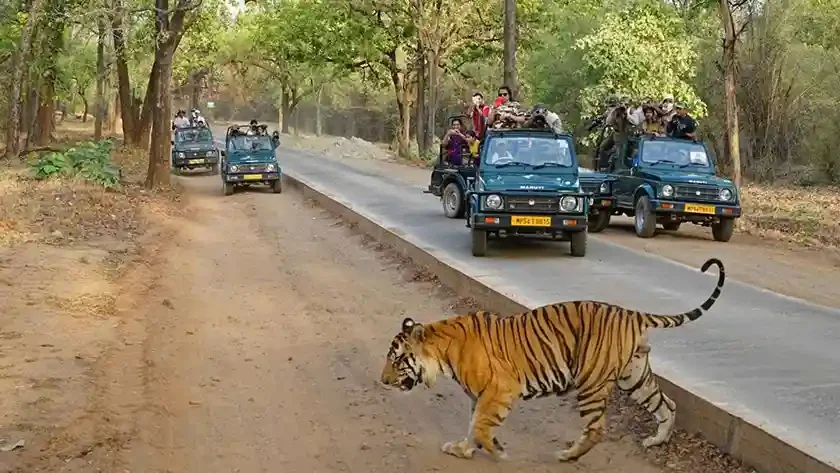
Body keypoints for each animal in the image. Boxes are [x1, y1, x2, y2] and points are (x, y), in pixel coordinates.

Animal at [378, 258, 720, 460]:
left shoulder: (500, 390)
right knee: (667, 405)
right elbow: (474, 424)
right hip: (634, 376)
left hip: (592, 382)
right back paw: (656, 441)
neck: (442, 352)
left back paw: (568, 455)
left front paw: (494, 451)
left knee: (597, 428)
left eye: (397, 359)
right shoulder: (481, 395)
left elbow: (481, 425)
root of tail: (631, 313)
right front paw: (464, 448)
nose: (382, 380)